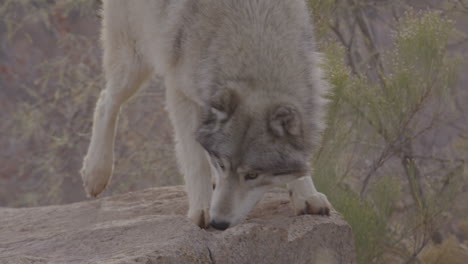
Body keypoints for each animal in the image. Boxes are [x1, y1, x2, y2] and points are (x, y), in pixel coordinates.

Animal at [80, 0, 330, 230]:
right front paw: (201, 209)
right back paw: (95, 172)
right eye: (222, 164)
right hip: (133, 63)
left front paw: (307, 196)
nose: (219, 223)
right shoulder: (181, 94)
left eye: (252, 175)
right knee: (105, 101)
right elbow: (195, 160)